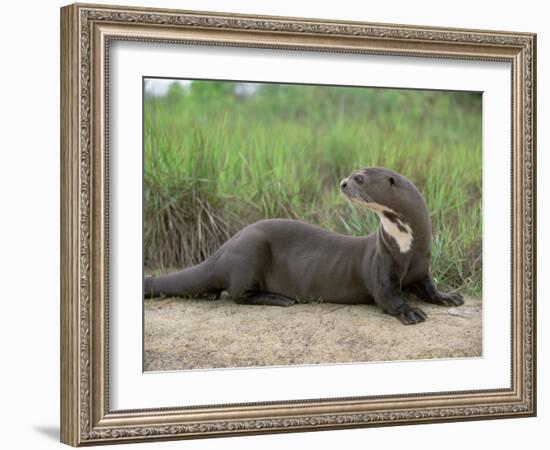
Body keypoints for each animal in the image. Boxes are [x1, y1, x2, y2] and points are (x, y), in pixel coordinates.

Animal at [146, 167, 466, 326]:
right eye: (353, 173)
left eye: (360, 178)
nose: (343, 182)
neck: (406, 247)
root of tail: (222, 250)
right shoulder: (382, 267)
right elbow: (388, 296)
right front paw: (409, 312)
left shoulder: (422, 267)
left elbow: (430, 288)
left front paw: (449, 297)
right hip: (250, 250)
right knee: (238, 294)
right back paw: (280, 299)